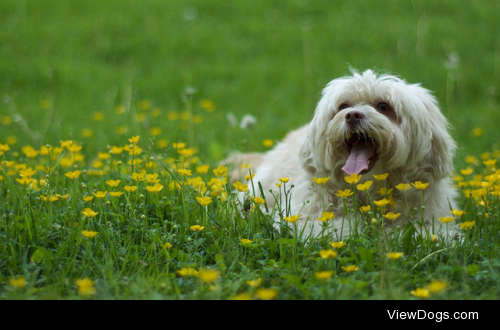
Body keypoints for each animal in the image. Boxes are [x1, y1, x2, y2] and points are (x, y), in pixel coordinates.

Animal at [230, 70, 458, 240]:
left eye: (384, 106)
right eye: (344, 106)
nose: (353, 115)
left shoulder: (438, 222)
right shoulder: (305, 220)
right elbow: (343, 228)